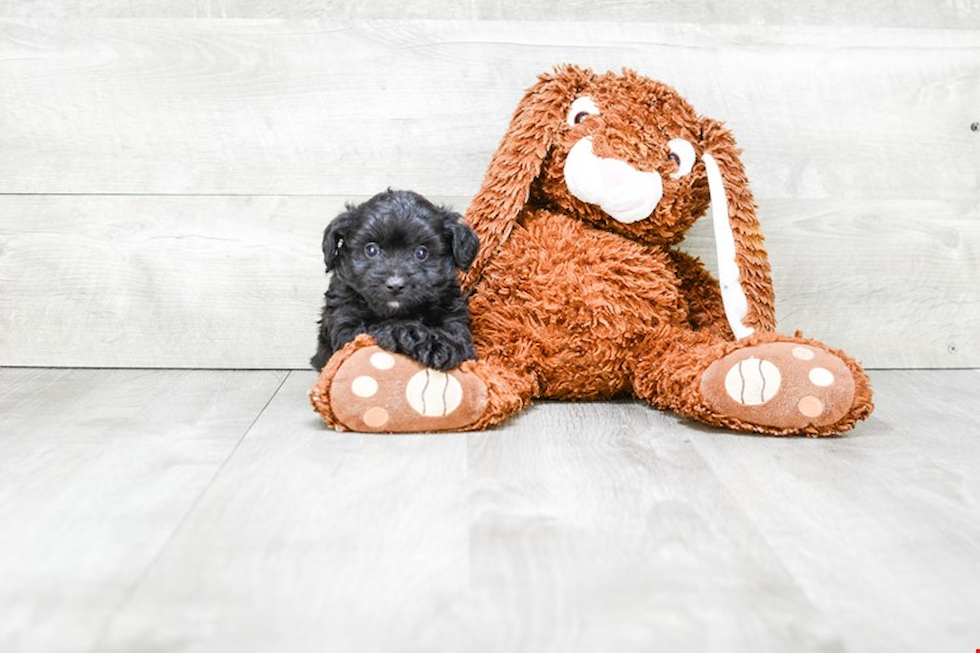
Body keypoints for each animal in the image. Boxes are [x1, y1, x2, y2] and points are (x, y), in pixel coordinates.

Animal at [312, 188, 480, 372]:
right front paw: (417, 337)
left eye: (422, 253)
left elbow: (459, 336)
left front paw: (442, 345)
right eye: (371, 250)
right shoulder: (346, 323)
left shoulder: (453, 316)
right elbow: (381, 326)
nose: (395, 285)